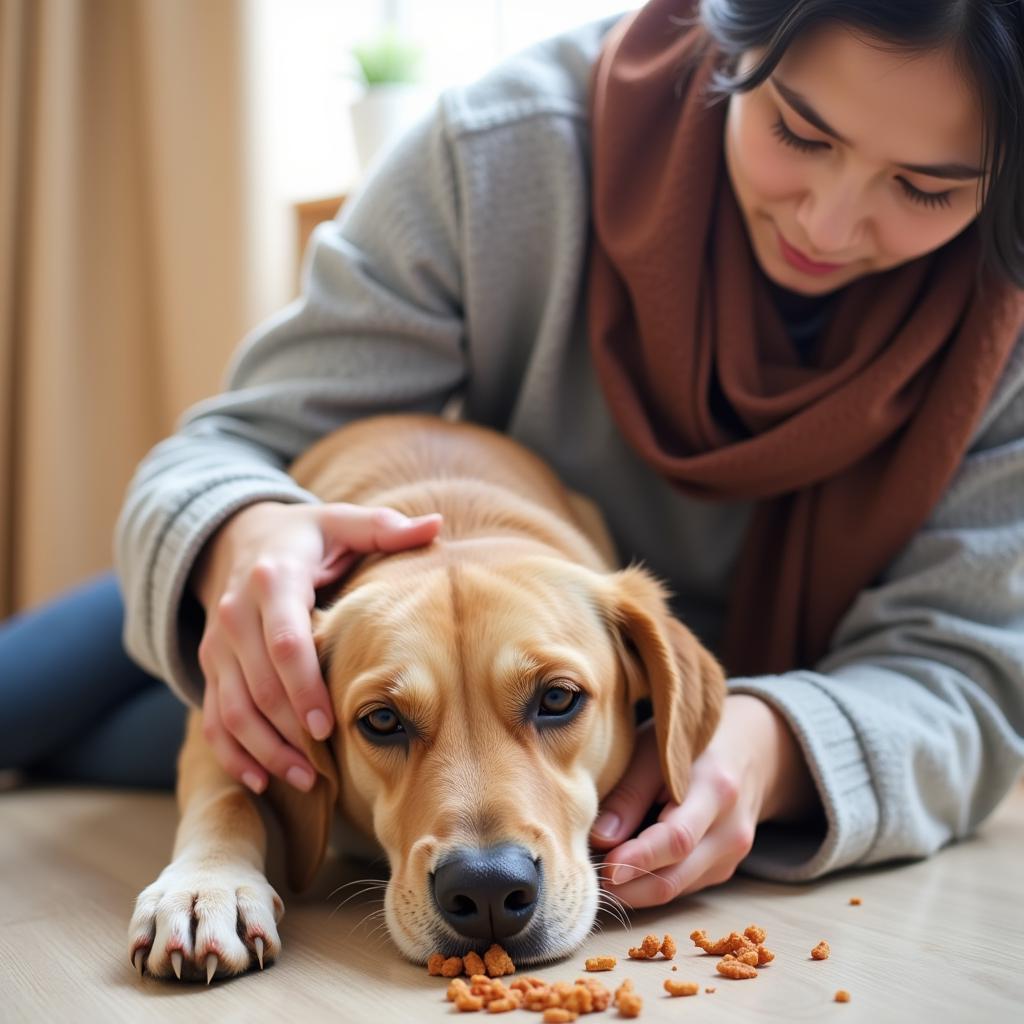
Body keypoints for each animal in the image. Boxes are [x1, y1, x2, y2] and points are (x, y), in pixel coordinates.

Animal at [128, 415, 724, 983]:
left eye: (557, 698)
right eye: (382, 719)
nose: (487, 890)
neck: (455, 522)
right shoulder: (226, 707)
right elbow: (226, 794)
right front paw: (206, 887)